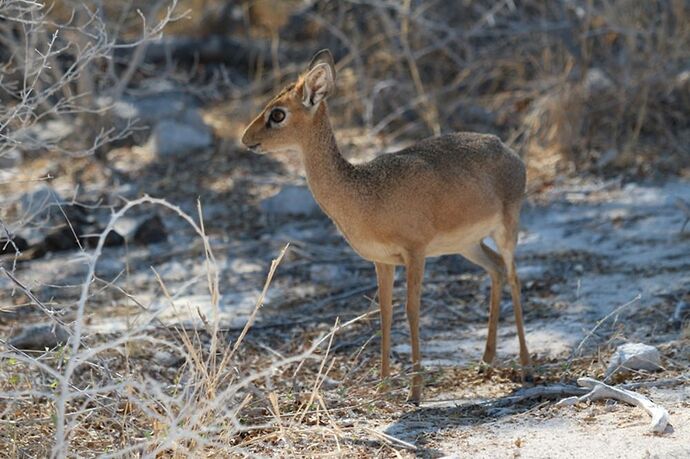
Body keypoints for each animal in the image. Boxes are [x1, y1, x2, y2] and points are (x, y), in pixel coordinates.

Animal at [239, 49, 528, 402]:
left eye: (277, 114)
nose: (246, 139)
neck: (365, 194)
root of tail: (508, 149)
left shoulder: (415, 252)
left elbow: (412, 310)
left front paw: (415, 392)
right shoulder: (382, 260)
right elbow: (385, 313)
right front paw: (383, 385)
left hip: (507, 227)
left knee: (514, 276)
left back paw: (527, 366)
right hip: (467, 244)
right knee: (496, 269)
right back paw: (485, 362)